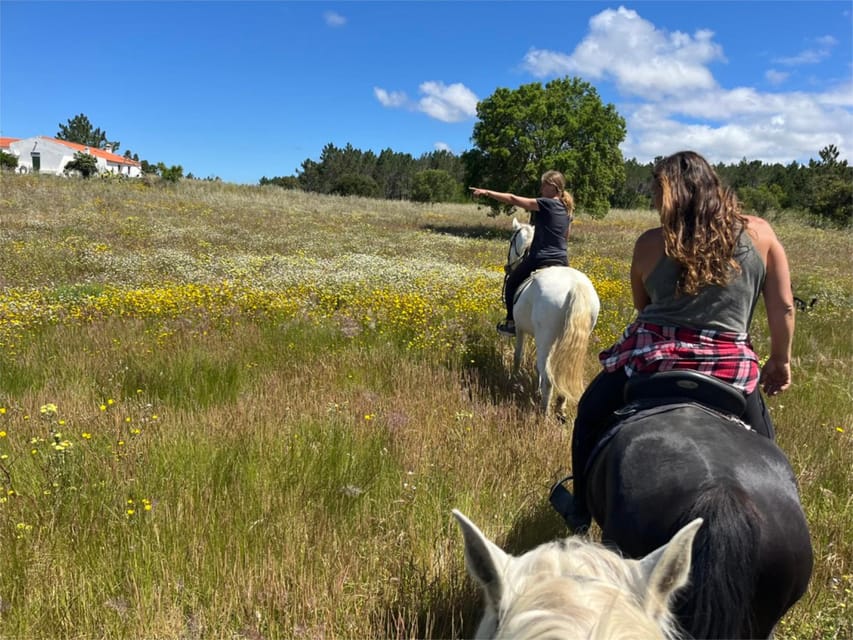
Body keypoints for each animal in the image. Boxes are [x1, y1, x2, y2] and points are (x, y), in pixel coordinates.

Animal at [503, 218, 600, 416]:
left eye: (511, 241)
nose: (507, 267)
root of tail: (575, 286)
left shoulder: (520, 329)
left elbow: (518, 355)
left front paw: (515, 379)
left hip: (545, 338)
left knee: (549, 378)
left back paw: (544, 414)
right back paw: (560, 407)